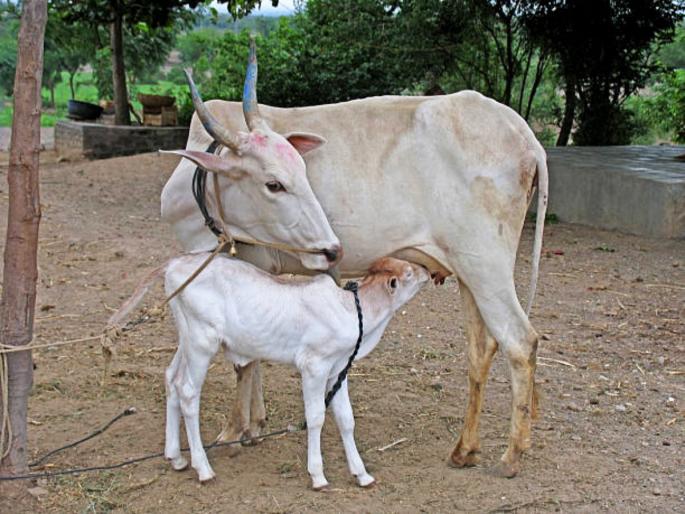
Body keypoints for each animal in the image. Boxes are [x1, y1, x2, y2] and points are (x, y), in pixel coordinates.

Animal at [160, 40, 548, 478]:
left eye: (298, 172)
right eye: (273, 183)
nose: (332, 249)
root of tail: (525, 136)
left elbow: (243, 361)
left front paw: (232, 431)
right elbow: (250, 350)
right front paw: (254, 424)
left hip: (486, 265)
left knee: (520, 342)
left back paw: (512, 454)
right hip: (469, 272)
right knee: (482, 349)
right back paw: (464, 449)